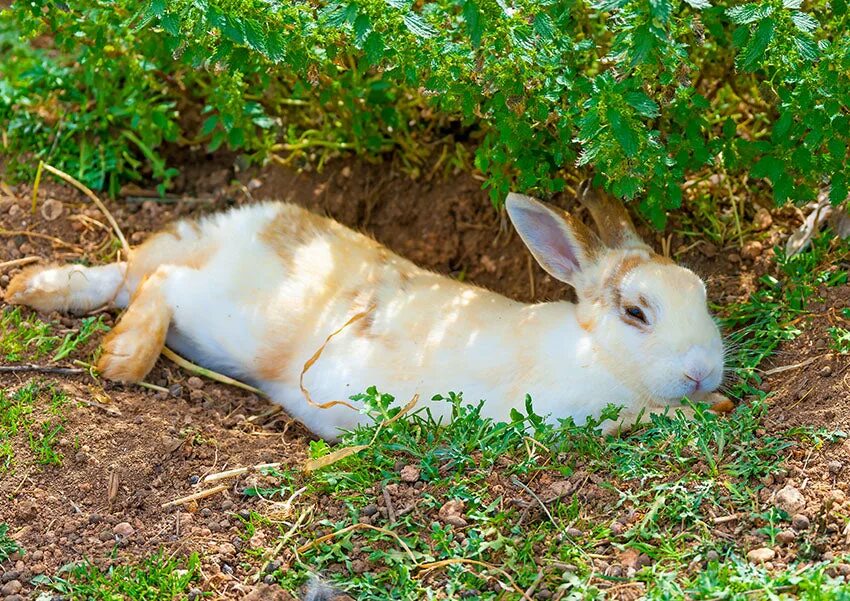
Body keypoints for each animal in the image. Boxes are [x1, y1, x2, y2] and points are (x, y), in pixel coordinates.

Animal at [3, 182, 724, 436]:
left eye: (702, 291)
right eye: (636, 313)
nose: (704, 370)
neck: (594, 350)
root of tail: (248, 229)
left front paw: (714, 401)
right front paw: (697, 408)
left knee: (128, 278)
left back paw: (34, 289)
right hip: (232, 320)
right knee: (162, 282)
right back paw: (123, 358)